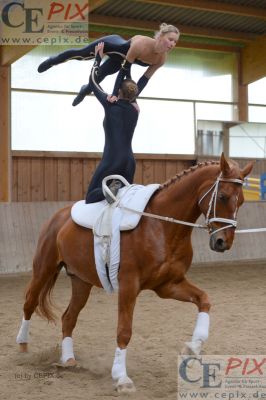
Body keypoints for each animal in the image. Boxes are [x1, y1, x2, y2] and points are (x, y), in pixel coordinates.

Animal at [17, 154, 254, 394]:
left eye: (242, 201)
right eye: (223, 196)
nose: (222, 242)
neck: (161, 226)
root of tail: (59, 215)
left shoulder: (169, 285)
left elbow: (204, 300)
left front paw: (193, 347)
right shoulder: (129, 285)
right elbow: (124, 330)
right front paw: (121, 377)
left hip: (81, 282)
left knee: (68, 317)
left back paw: (67, 360)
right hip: (44, 269)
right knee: (30, 303)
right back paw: (23, 347)